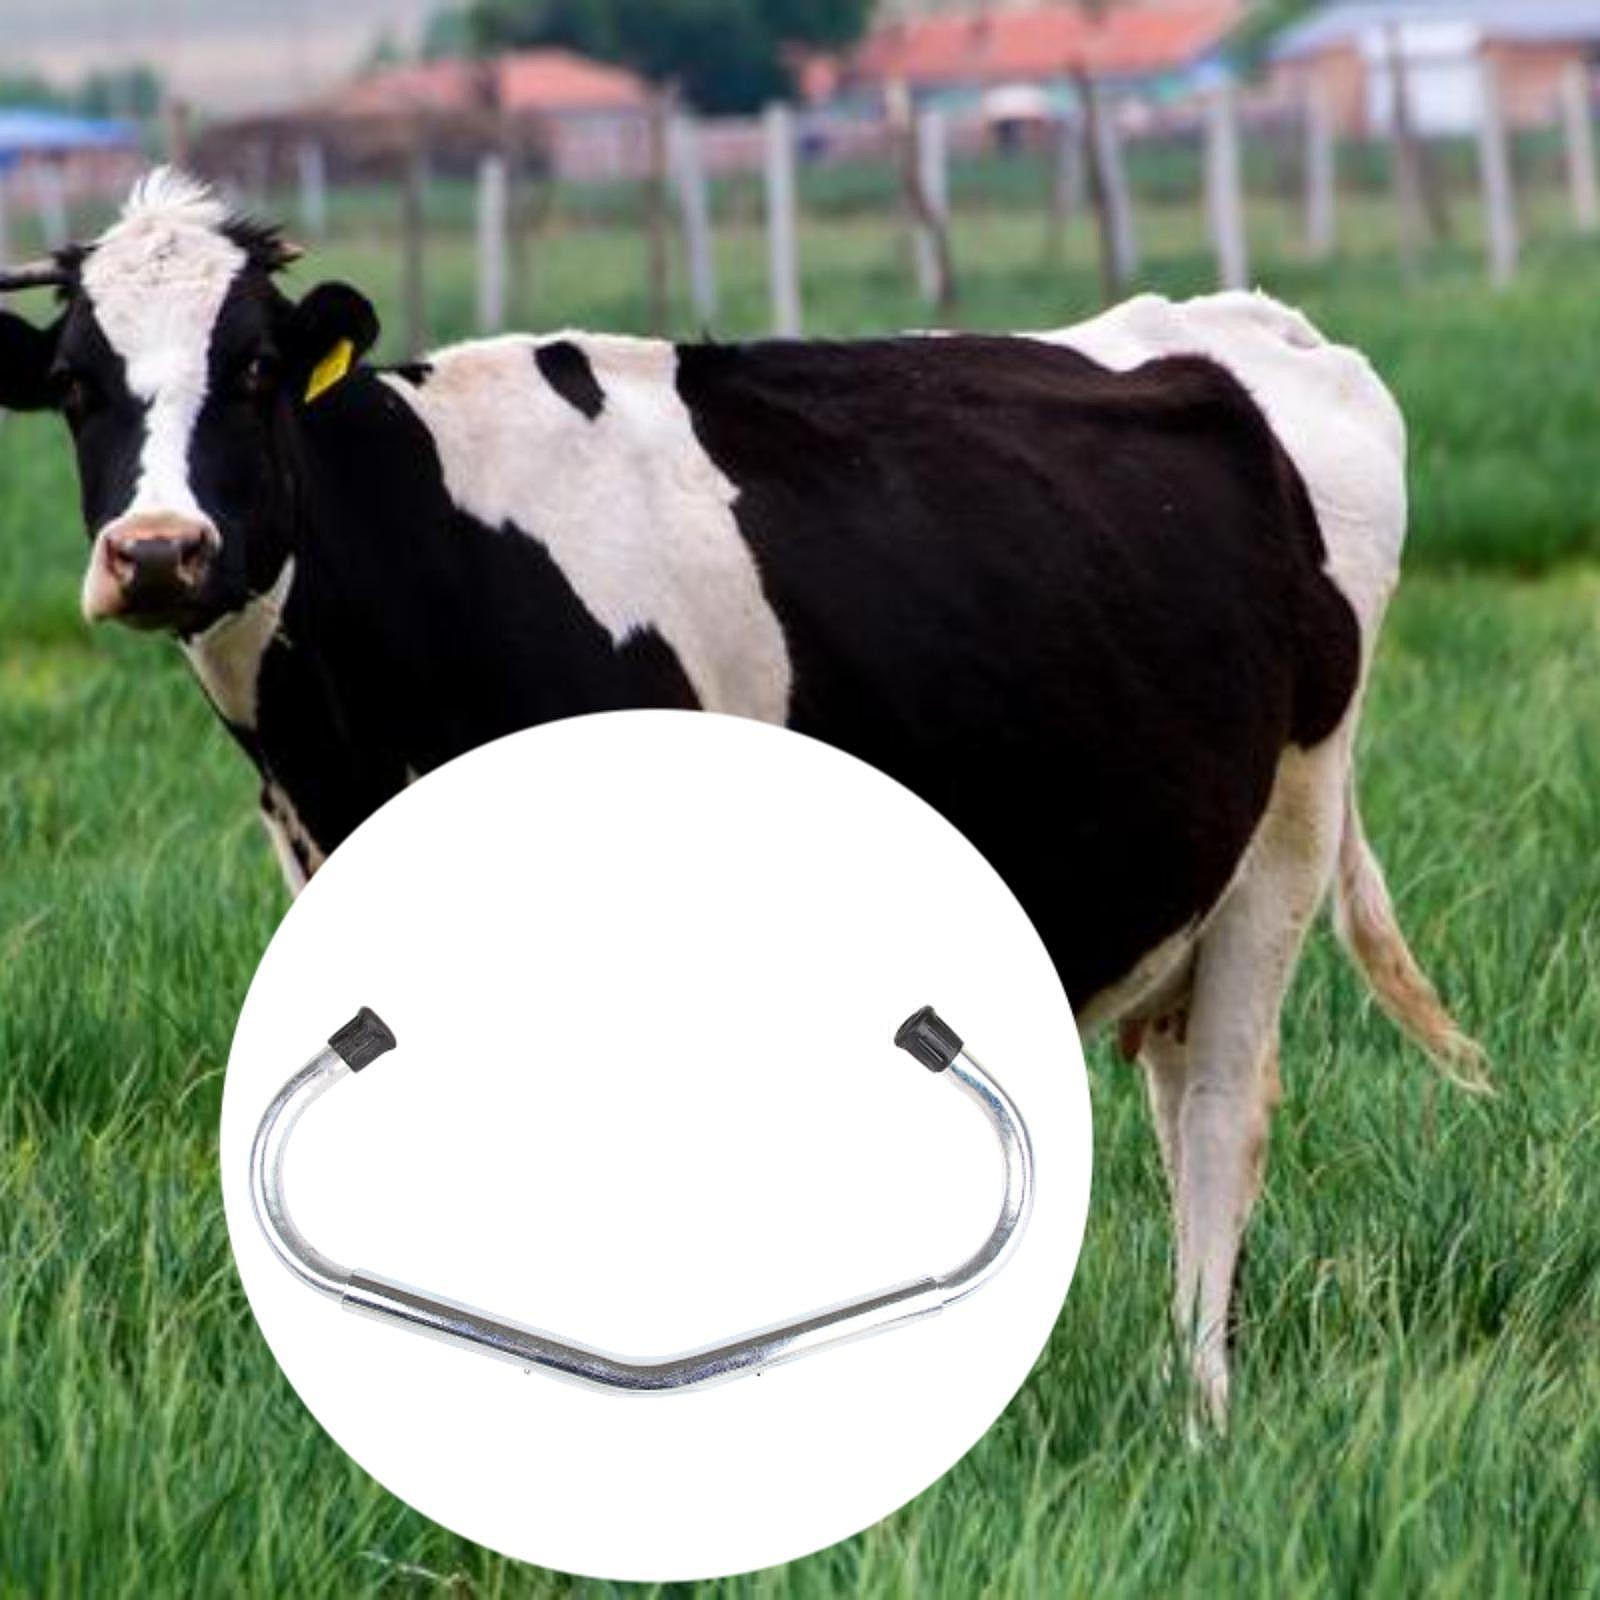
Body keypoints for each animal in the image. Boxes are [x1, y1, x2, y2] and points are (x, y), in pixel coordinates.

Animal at [0, 169, 1485, 1425]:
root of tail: (1234, 330)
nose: (159, 552)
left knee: (1224, 1111)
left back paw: (1202, 1415)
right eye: (75, 384)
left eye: (251, 370)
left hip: (1285, 834)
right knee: (1184, 1100)